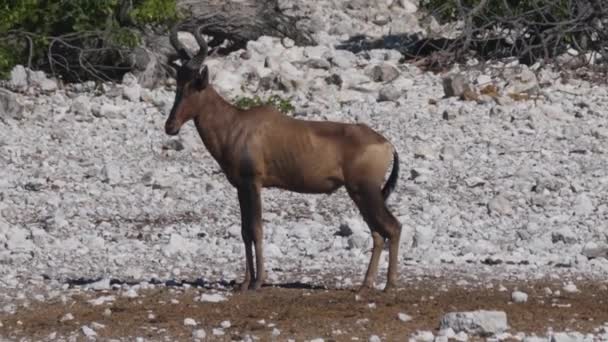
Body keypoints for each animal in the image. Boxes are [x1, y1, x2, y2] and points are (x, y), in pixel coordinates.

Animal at [166, 25, 404, 292]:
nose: (170, 126)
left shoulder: (253, 183)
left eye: (194, 86)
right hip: (360, 194)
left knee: (393, 227)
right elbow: (244, 231)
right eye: (177, 84)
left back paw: (389, 285)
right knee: (377, 233)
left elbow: (256, 229)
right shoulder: (240, 187)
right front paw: (244, 283)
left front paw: (258, 282)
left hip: (367, 191)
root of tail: (387, 144)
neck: (237, 123)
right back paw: (366, 285)